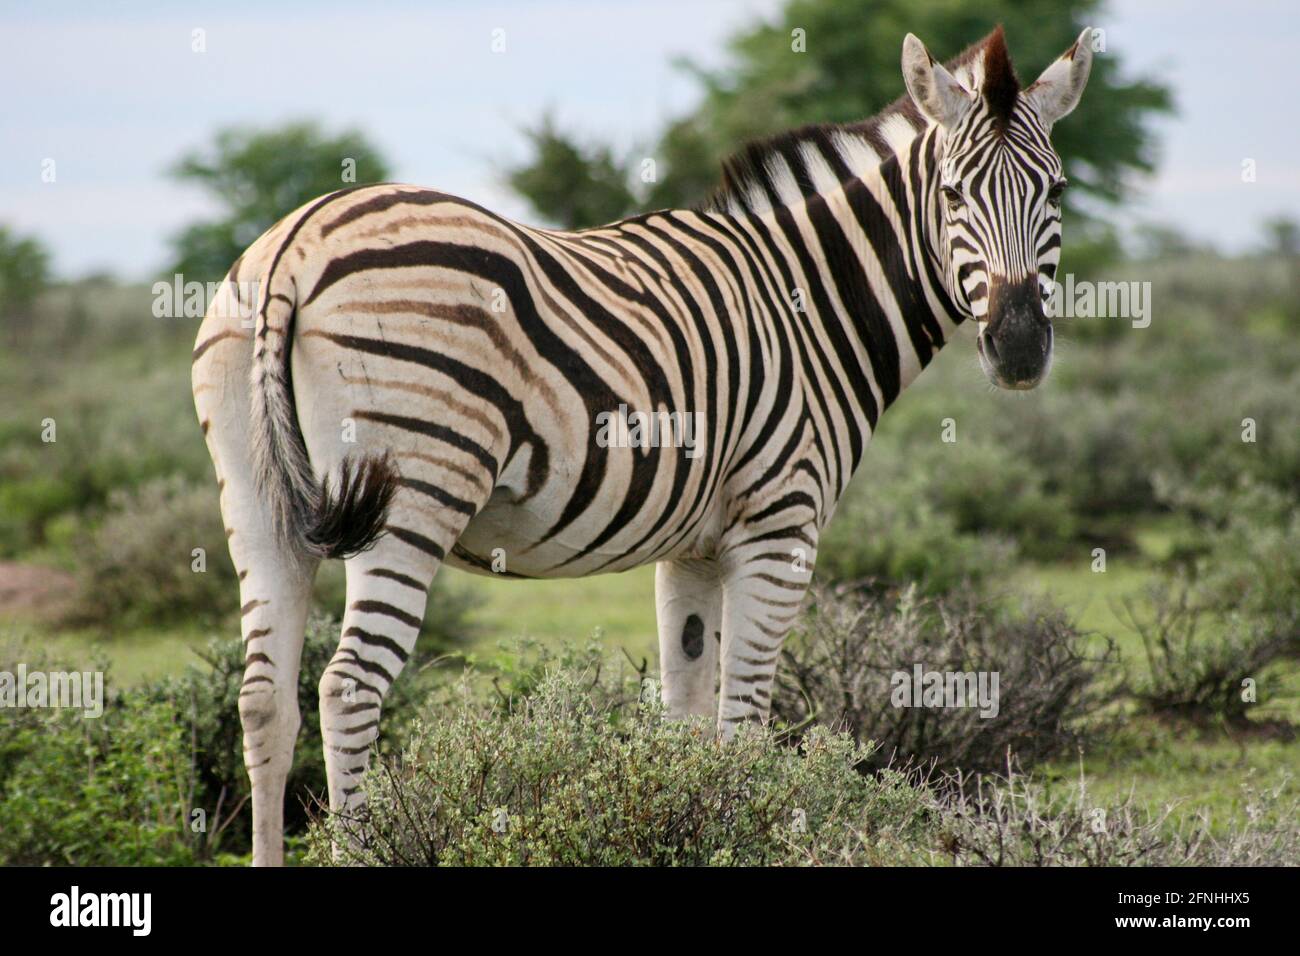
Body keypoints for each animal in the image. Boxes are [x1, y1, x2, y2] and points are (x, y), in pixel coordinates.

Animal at [192, 25, 1095, 865]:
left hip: (258, 501)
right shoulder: (780, 525)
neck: (810, 304)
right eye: (952, 194)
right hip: (415, 487)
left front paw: (693, 822)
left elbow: (685, 715)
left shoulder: (691, 548)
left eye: (1055, 190)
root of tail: (295, 245)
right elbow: (742, 720)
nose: (1019, 348)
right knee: (348, 688)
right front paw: (746, 832)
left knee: (264, 697)